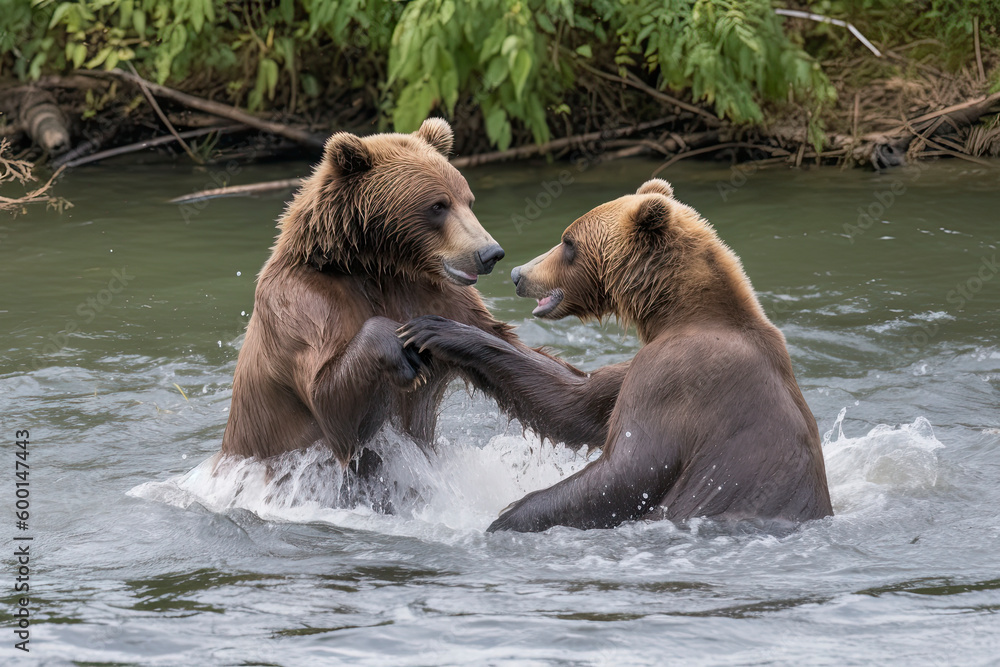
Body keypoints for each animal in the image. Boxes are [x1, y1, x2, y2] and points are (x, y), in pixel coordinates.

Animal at [219, 119, 623, 496]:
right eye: (437, 205)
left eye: (467, 200)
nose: (490, 253)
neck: (376, 266)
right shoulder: (304, 303)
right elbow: (332, 410)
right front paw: (397, 344)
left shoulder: (435, 292)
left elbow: (537, 374)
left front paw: (443, 334)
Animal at [399, 178, 833, 531]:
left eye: (568, 242)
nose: (519, 274)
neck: (681, 313)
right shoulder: (637, 365)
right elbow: (573, 404)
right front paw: (438, 329)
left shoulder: (675, 375)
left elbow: (630, 468)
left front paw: (507, 515)